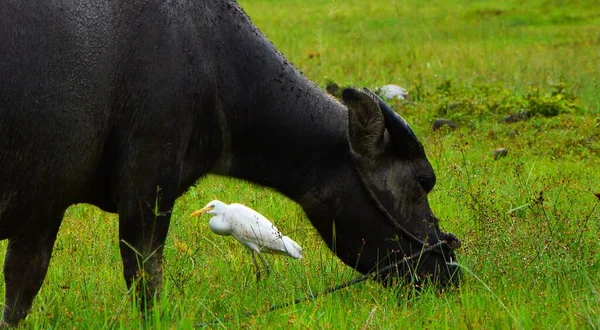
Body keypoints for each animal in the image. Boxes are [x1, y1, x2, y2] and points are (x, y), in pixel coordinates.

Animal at [0, 0, 462, 324]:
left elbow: (22, 288)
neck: (215, 66)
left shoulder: (45, 205)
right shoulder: (147, 192)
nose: (449, 270)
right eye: (423, 180)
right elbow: (146, 281)